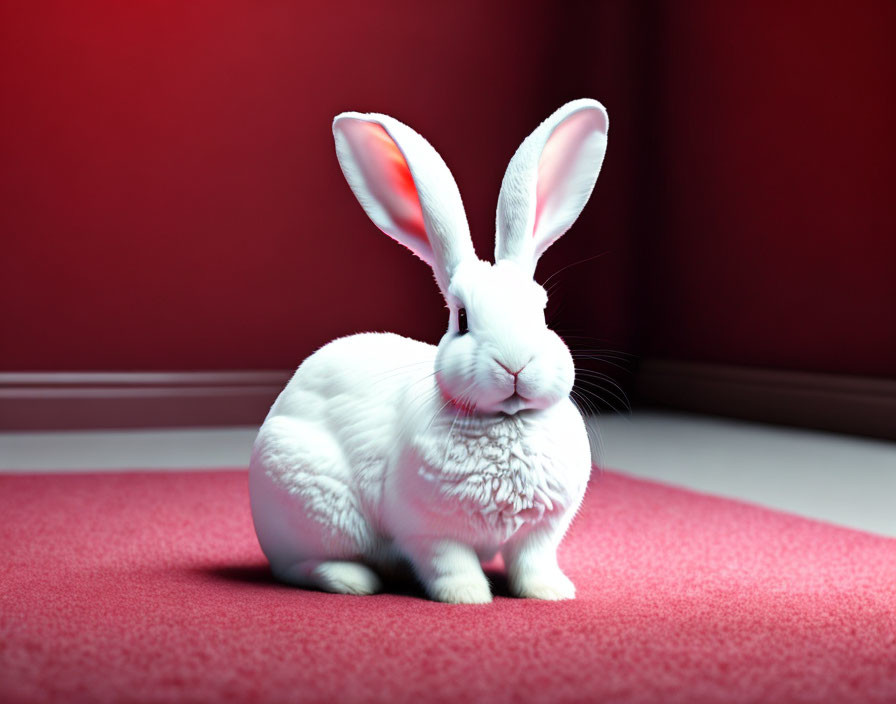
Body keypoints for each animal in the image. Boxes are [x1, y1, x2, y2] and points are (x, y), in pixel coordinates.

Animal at [248, 99, 608, 604]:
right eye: (462, 319)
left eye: (541, 311)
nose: (515, 365)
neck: (507, 421)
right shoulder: (429, 532)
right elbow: (449, 564)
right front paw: (468, 597)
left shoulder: (540, 532)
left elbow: (532, 562)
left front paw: (550, 593)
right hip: (313, 508)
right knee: (299, 566)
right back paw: (354, 580)